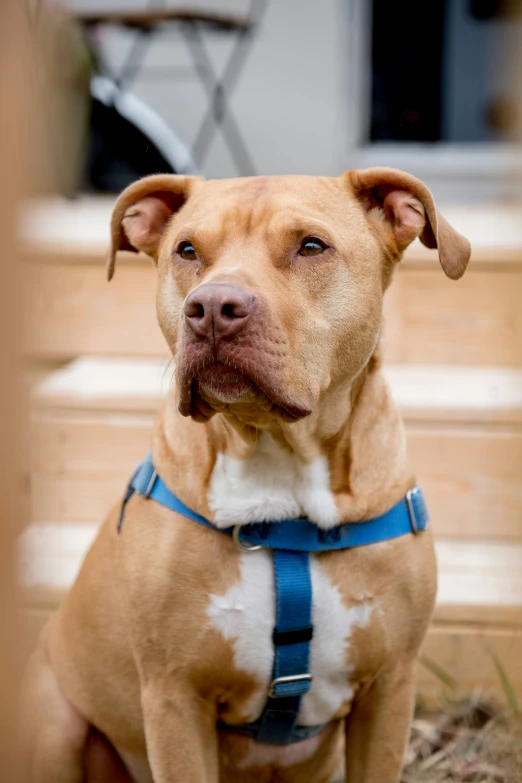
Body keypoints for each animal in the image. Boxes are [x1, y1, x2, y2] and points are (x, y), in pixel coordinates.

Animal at [20, 168, 470, 780]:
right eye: (187, 250)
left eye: (311, 246)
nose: (212, 306)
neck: (279, 475)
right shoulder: (174, 698)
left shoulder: (389, 690)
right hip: (52, 719)